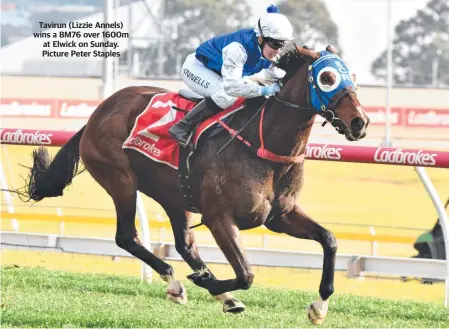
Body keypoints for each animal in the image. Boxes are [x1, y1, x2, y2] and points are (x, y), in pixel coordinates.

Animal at [17, 44, 368, 324]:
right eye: (327, 78)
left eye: (350, 74)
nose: (360, 122)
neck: (264, 145)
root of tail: (97, 114)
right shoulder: (219, 218)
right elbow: (246, 274)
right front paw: (207, 282)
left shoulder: (279, 216)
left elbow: (329, 240)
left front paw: (319, 307)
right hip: (120, 180)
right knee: (127, 237)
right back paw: (178, 283)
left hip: (175, 194)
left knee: (184, 243)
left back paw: (216, 292)